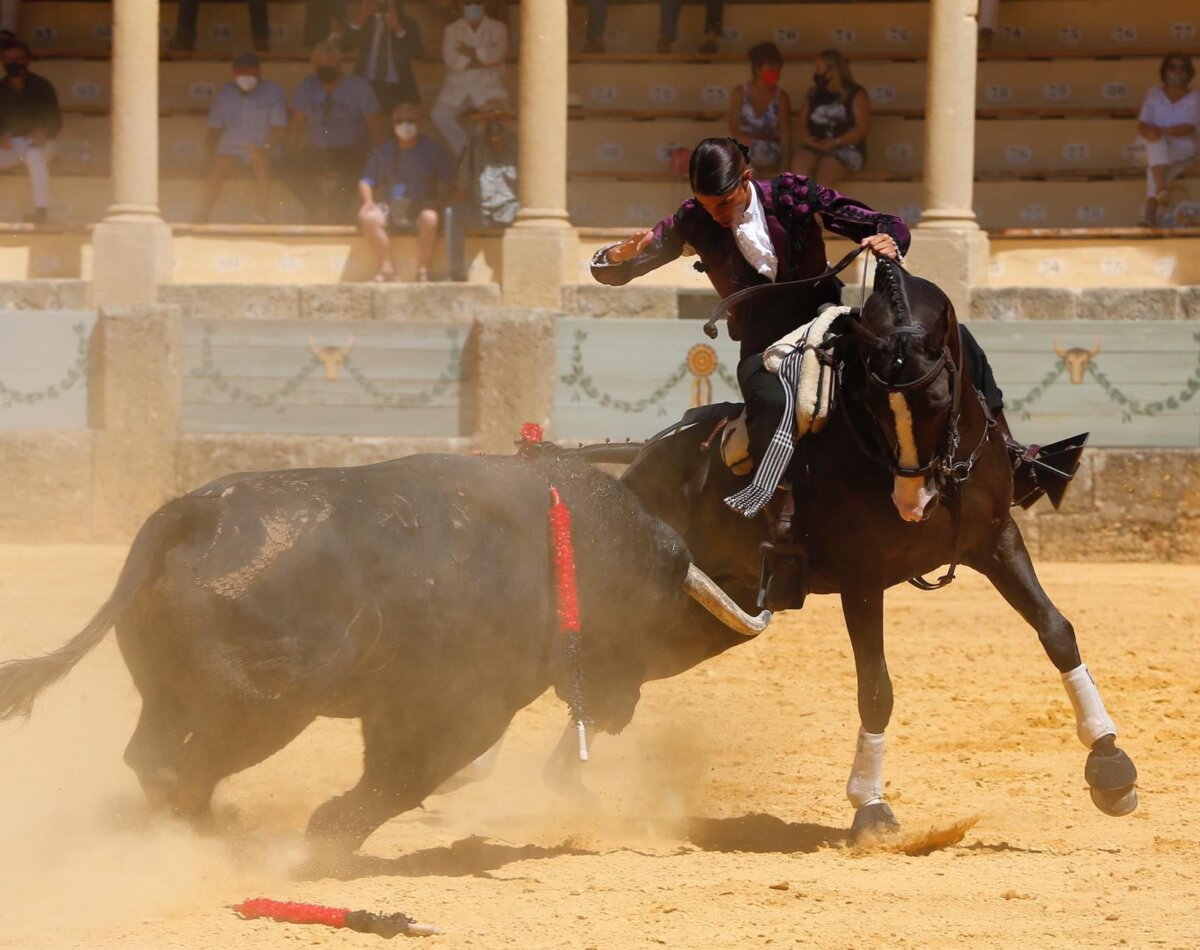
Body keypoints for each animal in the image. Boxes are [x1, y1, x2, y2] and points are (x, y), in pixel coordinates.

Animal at [0, 452, 768, 857]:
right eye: (648, 619)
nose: (617, 713)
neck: (566, 547)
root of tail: (195, 513)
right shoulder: (462, 710)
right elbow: (402, 779)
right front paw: (327, 836)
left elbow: (393, 777)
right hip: (266, 712)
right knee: (183, 768)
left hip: (172, 695)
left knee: (151, 758)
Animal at [615, 259, 1138, 839]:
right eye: (870, 403)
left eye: (939, 401)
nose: (914, 504)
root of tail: (642, 462)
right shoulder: (861, 576)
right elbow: (876, 686)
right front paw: (869, 805)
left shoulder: (996, 539)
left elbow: (1056, 631)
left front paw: (1110, 761)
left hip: (712, 617)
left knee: (630, 667)